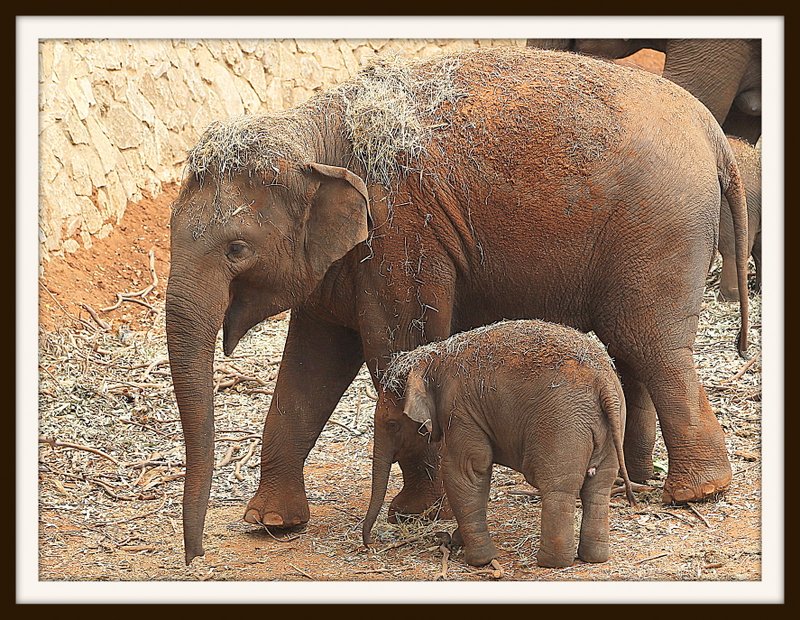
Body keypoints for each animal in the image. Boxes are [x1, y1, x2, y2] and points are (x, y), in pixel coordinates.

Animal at [360, 322, 632, 568]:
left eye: (392, 424)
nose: (369, 544)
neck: (433, 357)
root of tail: (604, 382)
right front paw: (458, 541)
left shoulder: (460, 410)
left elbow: (466, 471)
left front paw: (479, 560)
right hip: (612, 424)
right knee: (599, 486)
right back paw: (593, 558)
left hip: (562, 424)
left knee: (558, 487)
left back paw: (550, 563)